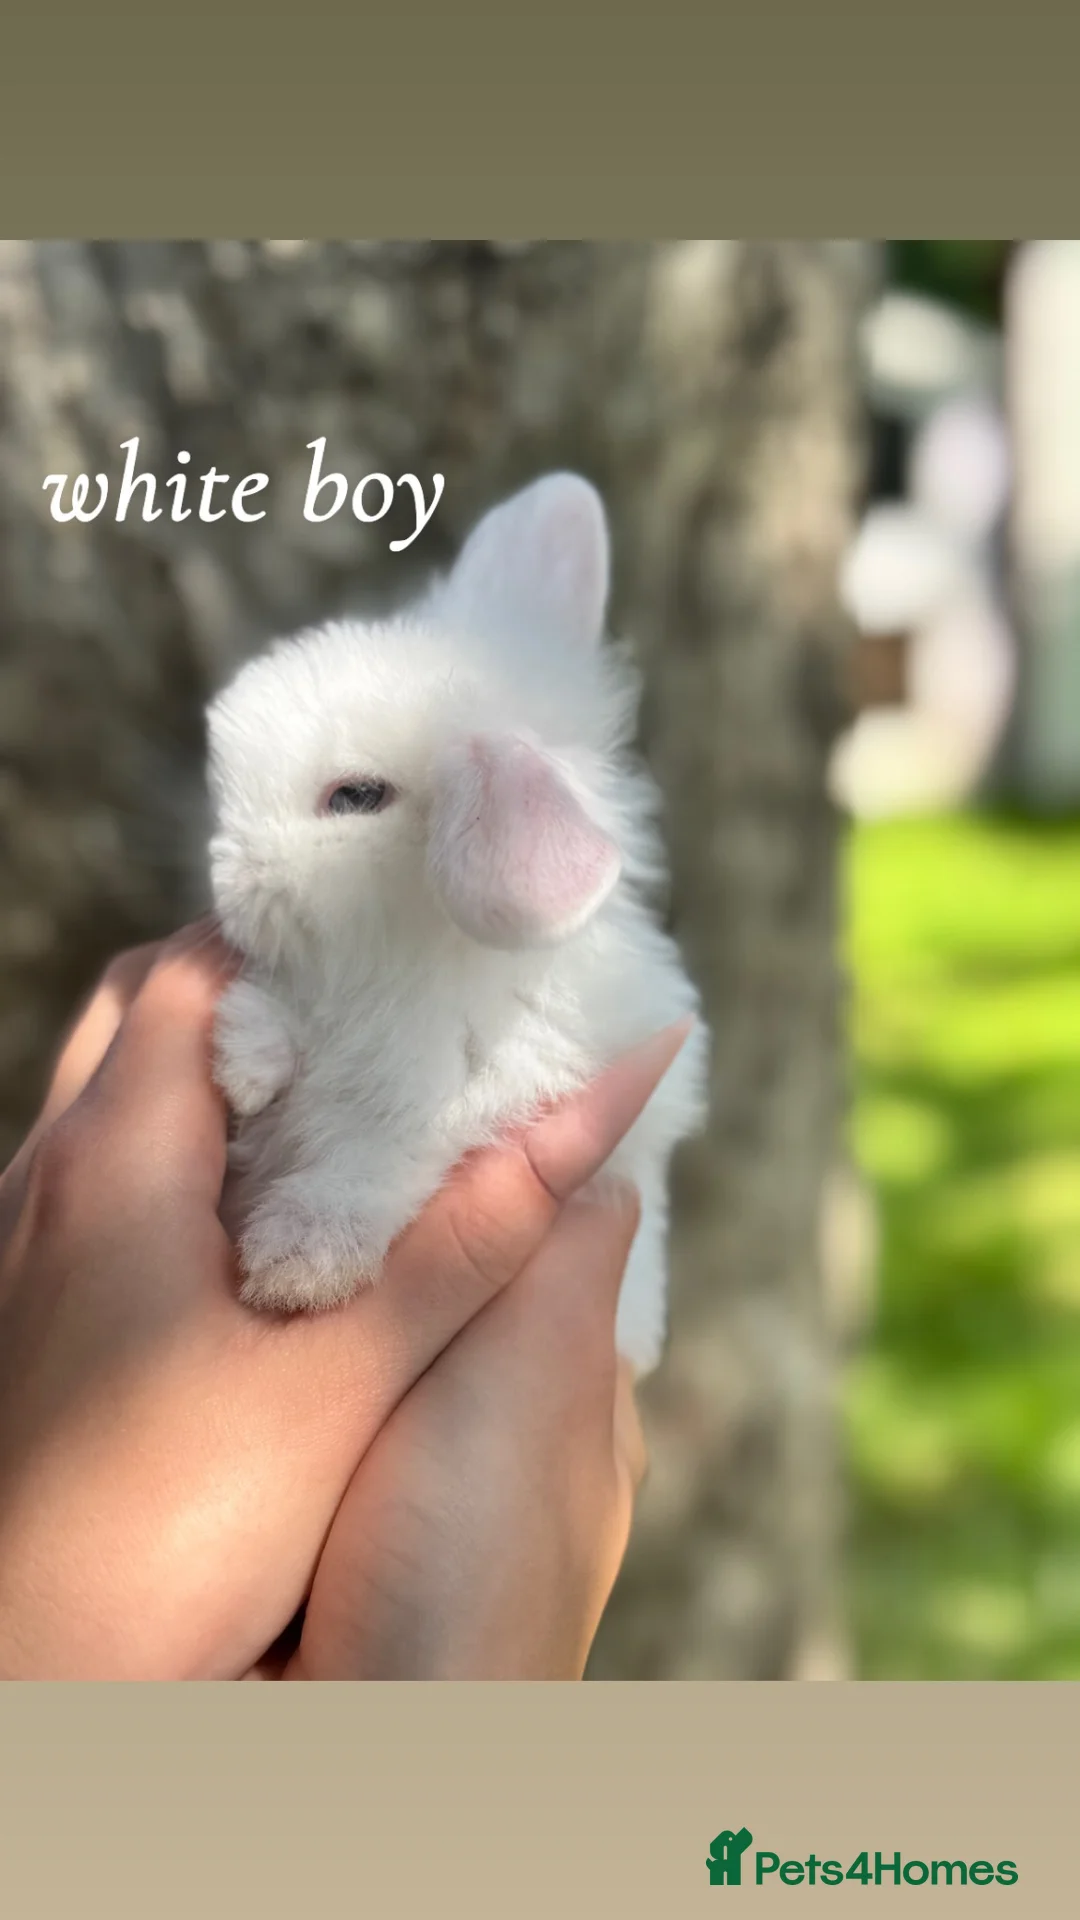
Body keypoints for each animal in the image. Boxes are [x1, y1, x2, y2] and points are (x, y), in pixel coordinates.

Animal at [206, 472, 709, 1373]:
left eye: (357, 796)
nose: (230, 886)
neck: (412, 962)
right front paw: (248, 1058)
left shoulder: (486, 1098)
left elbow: (381, 1156)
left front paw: (299, 1262)